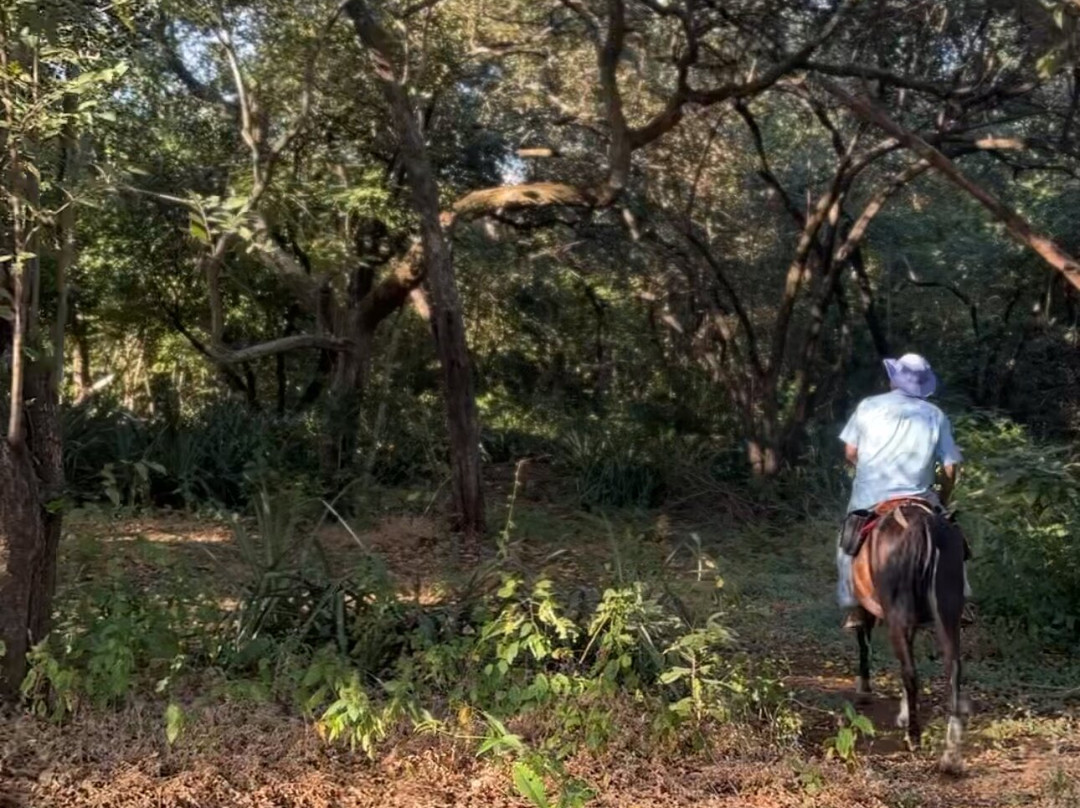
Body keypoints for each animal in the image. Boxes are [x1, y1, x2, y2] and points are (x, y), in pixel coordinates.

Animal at [848, 499, 969, 773]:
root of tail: (923, 527)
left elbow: (864, 640)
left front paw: (864, 689)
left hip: (896, 613)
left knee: (910, 672)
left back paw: (913, 737)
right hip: (947, 606)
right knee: (953, 668)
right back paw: (951, 751)